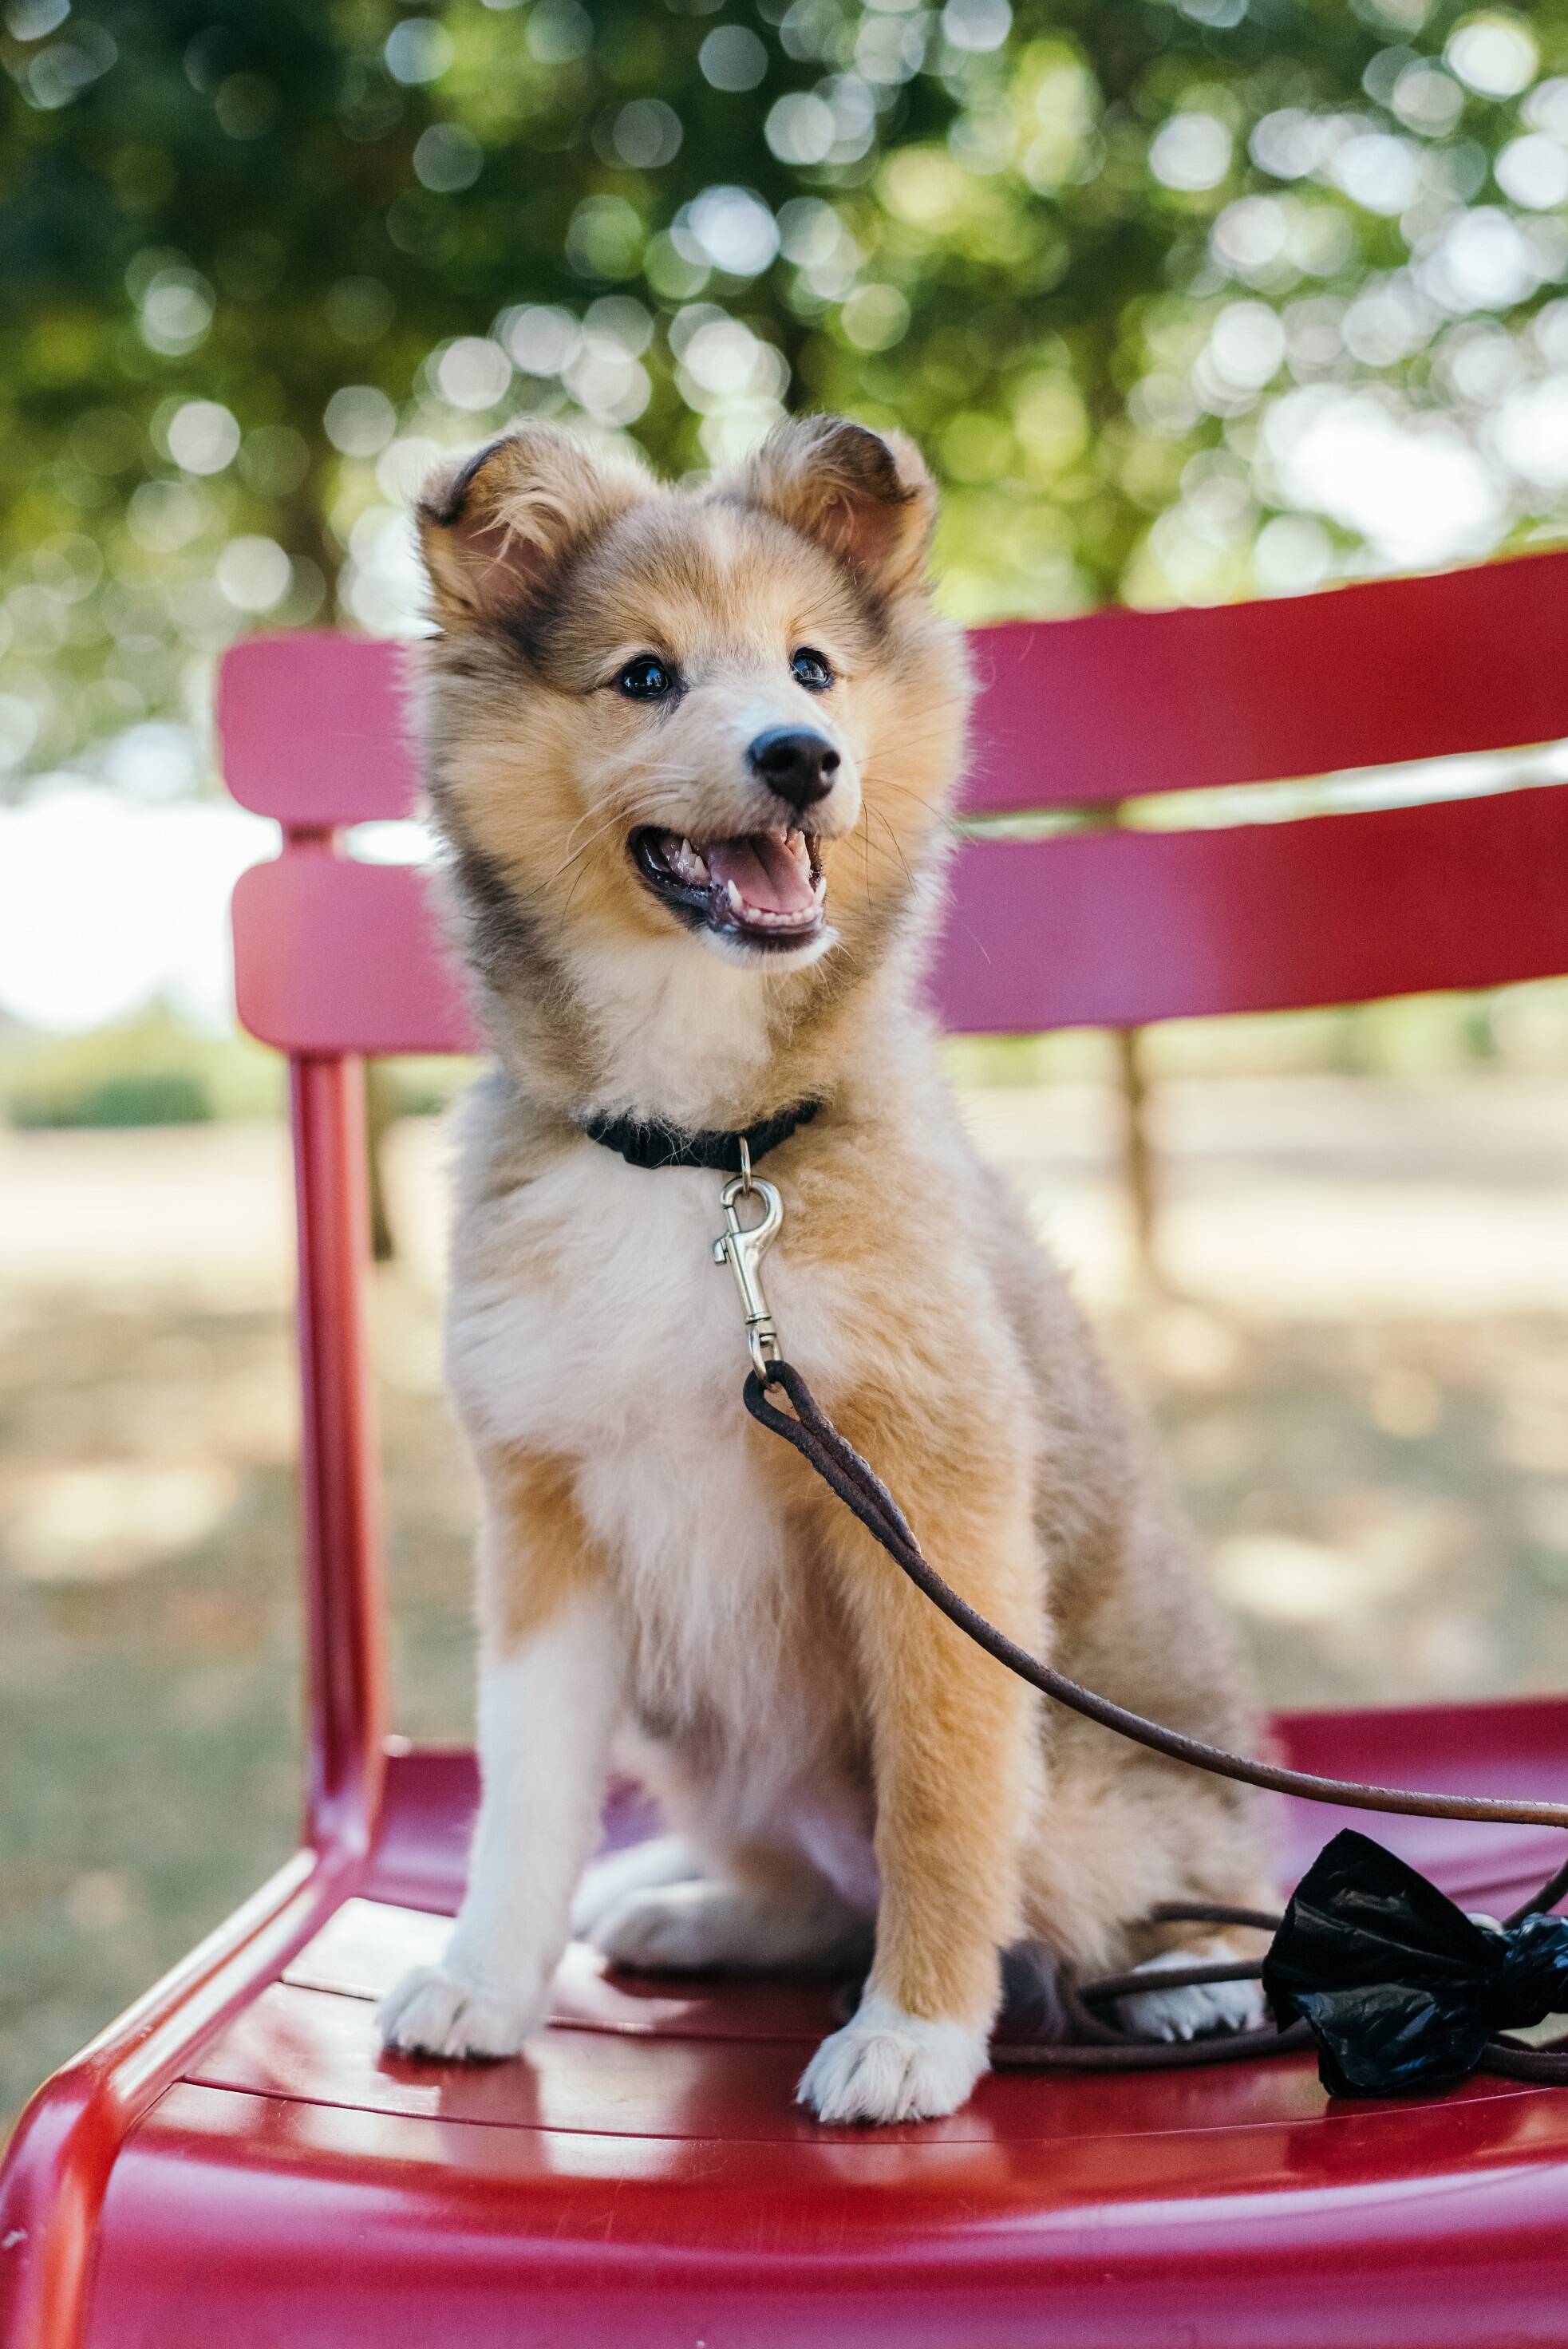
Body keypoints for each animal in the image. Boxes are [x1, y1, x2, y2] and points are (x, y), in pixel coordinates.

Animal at [383, 413, 1278, 2123]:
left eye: (811, 666)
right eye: (645, 675)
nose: (801, 756)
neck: (699, 1154)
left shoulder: (931, 1512)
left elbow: (938, 1796)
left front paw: (916, 2031)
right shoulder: (547, 1518)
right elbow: (527, 1792)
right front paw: (484, 1978)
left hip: (1104, 1800)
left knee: (1163, 1890)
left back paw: (1185, 1980)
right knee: (814, 1890)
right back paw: (692, 1907)